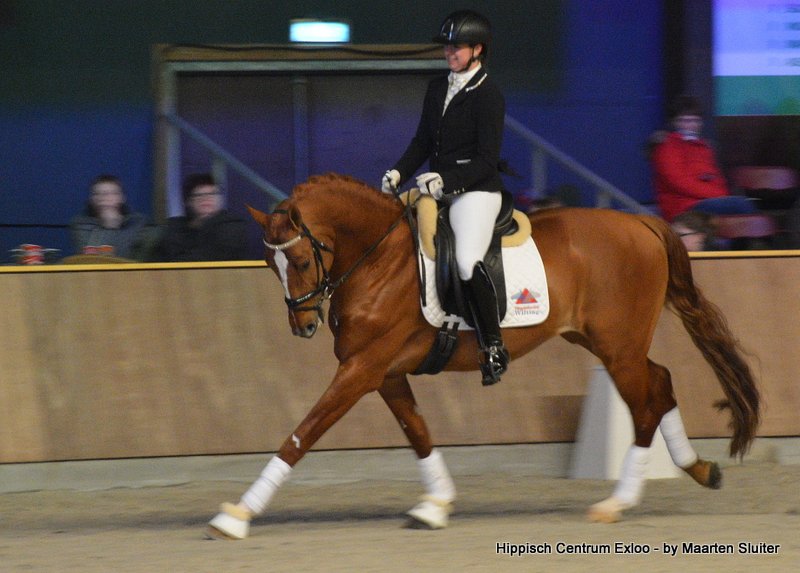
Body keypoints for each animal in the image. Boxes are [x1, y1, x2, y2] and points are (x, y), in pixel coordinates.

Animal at [207, 172, 759, 540]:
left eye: (301, 260)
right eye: (268, 263)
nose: (303, 326)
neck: (379, 260)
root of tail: (643, 223)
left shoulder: (361, 369)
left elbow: (303, 434)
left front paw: (237, 514)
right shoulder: (384, 372)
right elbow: (417, 431)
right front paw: (435, 504)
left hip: (618, 348)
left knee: (645, 405)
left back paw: (616, 503)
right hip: (601, 341)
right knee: (661, 382)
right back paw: (699, 469)